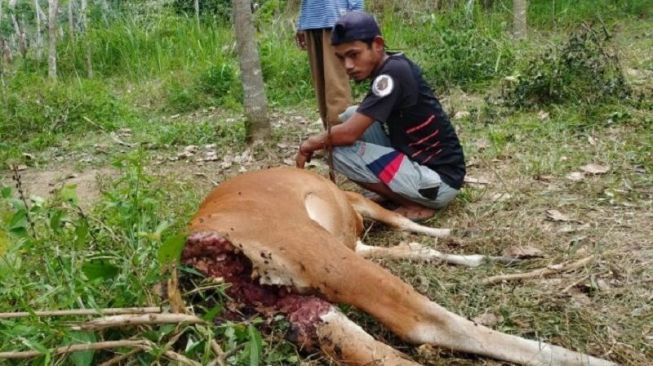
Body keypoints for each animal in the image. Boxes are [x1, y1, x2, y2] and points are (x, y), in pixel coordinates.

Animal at [181, 167, 612, 364]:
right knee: (431, 320)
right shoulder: (358, 215)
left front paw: (473, 251)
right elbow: (409, 228)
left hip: (303, 309)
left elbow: (413, 244)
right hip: (320, 251)